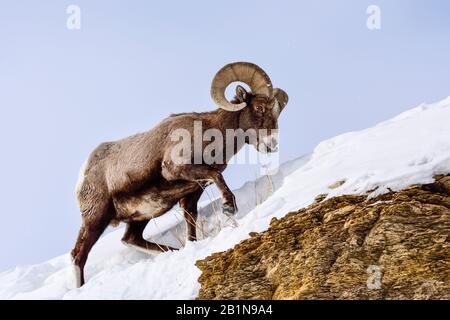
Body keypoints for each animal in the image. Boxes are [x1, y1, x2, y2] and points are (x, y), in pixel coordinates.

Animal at [70, 61, 288, 286]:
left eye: (277, 111)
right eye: (259, 108)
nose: (271, 144)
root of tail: (84, 173)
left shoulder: (193, 191)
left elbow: (190, 220)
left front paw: (191, 245)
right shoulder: (178, 169)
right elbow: (217, 177)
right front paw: (229, 207)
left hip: (140, 217)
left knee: (130, 239)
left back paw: (173, 251)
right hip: (96, 219)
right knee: (79, 255)